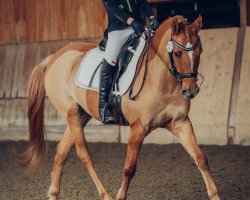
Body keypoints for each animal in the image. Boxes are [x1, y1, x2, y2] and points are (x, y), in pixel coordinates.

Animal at [14, 15, 219, 200]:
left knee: (61, 151)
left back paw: (54, 193)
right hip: (71, 114)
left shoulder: (181, 123)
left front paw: (214, 194)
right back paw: (105, 194)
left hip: (81, 115)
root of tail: (54, 57)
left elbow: (201, 159)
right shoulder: (138, 128)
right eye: (177, 53)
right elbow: (129, 169)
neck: (162, 81)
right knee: (84, 155)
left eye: (200, 51)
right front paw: (120, 196)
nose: (191, 91)